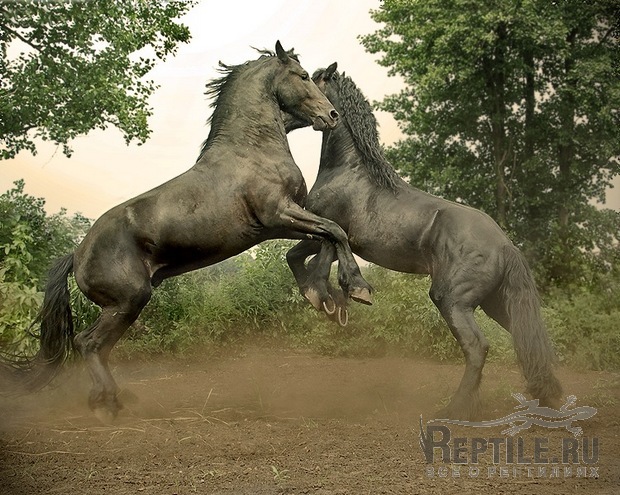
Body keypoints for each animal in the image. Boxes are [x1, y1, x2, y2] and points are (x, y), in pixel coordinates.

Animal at [1, 43, 373, 423]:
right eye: (302, 76)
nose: (332, 115)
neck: (254, 150)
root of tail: (76, 254)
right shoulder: (278, 215)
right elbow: (335, 232)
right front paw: (355, 289)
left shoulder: (284, 222)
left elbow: (326, 239)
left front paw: (326, 297)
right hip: (127, 300)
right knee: (87, 343)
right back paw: (105, 406)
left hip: (124, 305)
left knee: (97, 347)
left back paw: (117, 399)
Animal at [285, 64, 562, 420]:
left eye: (312, 78)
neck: (348, 170)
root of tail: (505, 244)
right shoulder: (325, 236)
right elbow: (297, 257)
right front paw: (333, 300)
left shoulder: (330, 229)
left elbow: (316, 259)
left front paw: (333, 295)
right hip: (497, 301)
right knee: (525, 338)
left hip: (452, 299)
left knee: (477, 347)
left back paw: (454, 409)